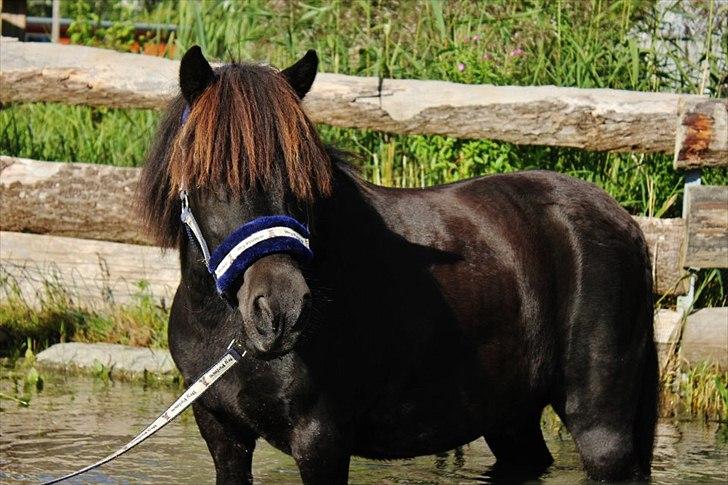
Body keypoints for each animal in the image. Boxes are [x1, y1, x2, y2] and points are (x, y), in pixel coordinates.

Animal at [137, 45, 658, 484]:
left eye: (303, 177)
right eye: (208, 176)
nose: (282, 312)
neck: (226, 334)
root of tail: (626, 223)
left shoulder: (321, 440)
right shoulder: (222, 433)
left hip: (600, 424)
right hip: (511, 418)